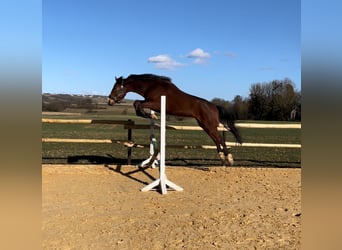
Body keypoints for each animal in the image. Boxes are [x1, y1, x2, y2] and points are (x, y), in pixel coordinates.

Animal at [108, 73, 242, 165]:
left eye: (116, 88)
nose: (109, 101)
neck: (152, 86)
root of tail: (214, 106)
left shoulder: (155, 104)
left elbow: (137, 103)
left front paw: (150, 115)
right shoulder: (150, 103)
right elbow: (136, 103)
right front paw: (150, 115)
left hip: (209, 125)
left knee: (219, 139)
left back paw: (229, 158)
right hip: (205, 126)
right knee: (216, 139)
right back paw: (222, 156)